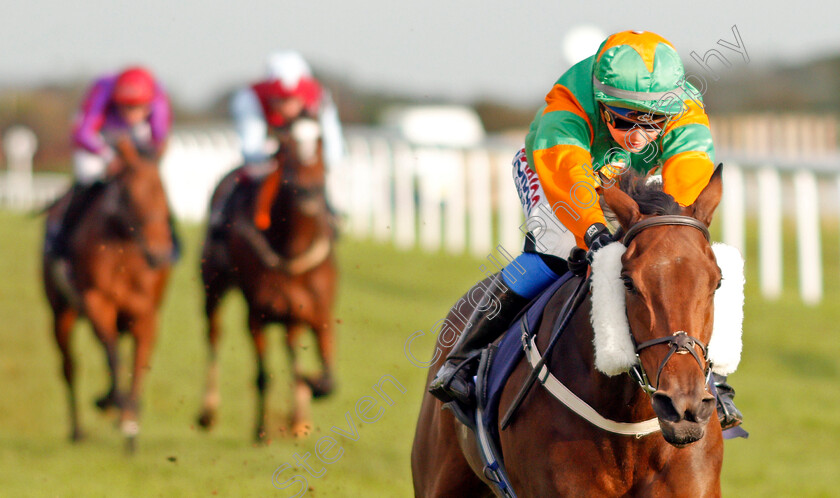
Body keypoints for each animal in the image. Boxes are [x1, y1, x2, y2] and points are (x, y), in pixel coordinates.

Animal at [43, 137, 176, 452]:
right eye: (128, 193)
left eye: (162, 190)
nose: (159, 254)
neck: (124, 246)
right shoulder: (97, 302)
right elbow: (114, 357)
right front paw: (119, 410)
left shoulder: (146, 313)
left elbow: (137, 364)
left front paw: (130, 424)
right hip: (60, 312)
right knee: (70, 366)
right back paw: (78, 430)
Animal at [197, 119, 338, 440]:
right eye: (289, 152)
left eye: (321, 149)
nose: (309, 192)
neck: (291, 248)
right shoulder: (257, 314)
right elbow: (263, 375)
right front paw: (260, 430)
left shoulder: (318, 312)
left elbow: (327, 379)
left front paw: (307, 393)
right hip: (213, 286)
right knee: (213, 335)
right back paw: (208, 411)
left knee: (291, 346)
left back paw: (298, 416)